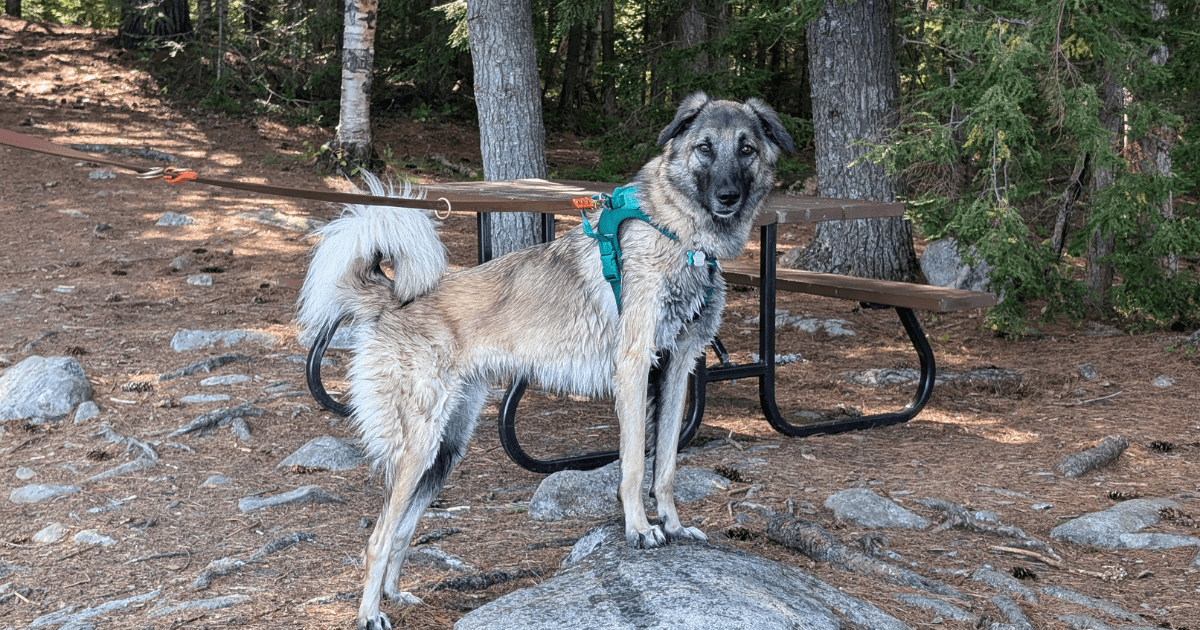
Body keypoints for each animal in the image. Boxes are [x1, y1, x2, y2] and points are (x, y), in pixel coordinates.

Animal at [295, 92, 792, 628]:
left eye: (745, 148)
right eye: (704, 148)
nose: (727, 196)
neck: (678, 235)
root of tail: (392, 299)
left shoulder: (677, 373)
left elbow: (665, 469)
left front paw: (675, 527)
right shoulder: (634, 369)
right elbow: (634, 467)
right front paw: (639, 530)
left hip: (445, 450)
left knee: (403, 527)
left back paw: (394, 593)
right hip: (420, 445)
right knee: (378, 535)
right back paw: (370, 612)